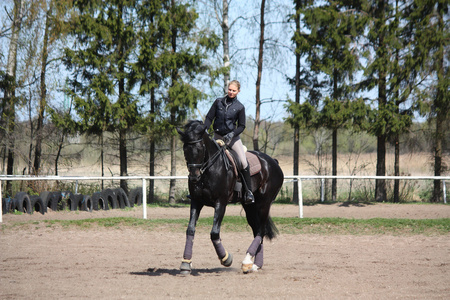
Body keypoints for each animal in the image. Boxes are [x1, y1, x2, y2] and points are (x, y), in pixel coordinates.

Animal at [177, 119, 284, 274]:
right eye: (185, 149)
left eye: (200, 148)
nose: (194, 178)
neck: (209, 169)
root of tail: (273, 162)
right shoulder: (196, 202)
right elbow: (190, 229)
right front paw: (185, 262)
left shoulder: (221, 203)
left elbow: (214, 233)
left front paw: (226, 259)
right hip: (249, 206)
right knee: (256, 229)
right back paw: (255, 264)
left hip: (264, 203)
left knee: (261, 230)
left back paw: (247, 262)